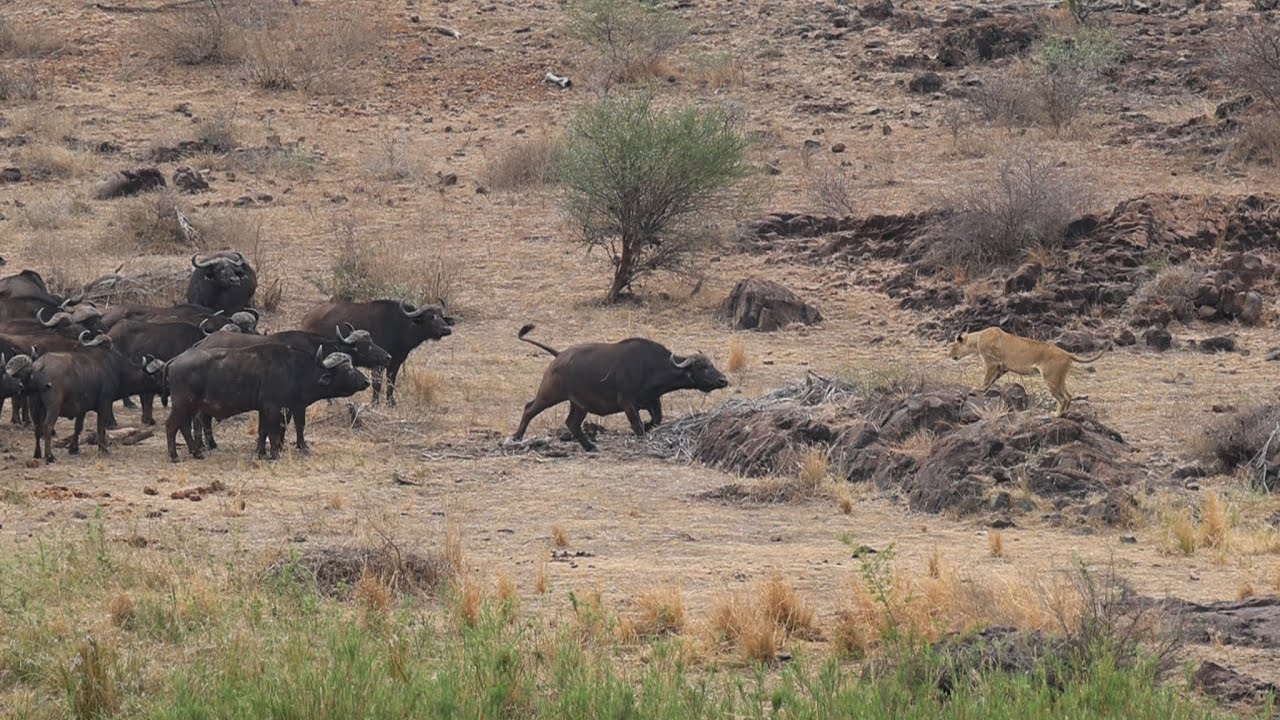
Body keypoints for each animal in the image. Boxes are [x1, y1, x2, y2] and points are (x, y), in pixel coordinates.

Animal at [30, 333, 165, 462]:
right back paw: (49, 456)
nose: (165, 387)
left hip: (36, 407)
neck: (116, 369)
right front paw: (103, 449)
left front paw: (74, 448)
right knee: (47, 426)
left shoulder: (81, 409)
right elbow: (101, 427)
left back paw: (37, 454)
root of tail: (40, 365)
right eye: (159, 374)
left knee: (37, 427)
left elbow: (78, 427)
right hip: (53, 407)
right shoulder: (104, 403)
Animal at [166, 345, 370, 462]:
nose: (366, 381)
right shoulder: (273, 409)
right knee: (172, 425)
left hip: (189, 406)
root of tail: (176, 360)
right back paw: (175, 456)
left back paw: (196, 452)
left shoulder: (265, 409)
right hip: (183, 404)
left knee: (184, 426)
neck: (295, 371)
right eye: (349, 369)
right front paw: (274, 454)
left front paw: (260, 453)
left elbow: (262, 431)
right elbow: (273, 432)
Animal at [301, 300, 453, 406]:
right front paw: (375, 403)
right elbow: (377, 385)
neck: (400, 326)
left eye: (441, 316)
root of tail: (307, 317)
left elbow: (391, 382)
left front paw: (391, 402)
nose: (447, 329)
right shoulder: (378, 364)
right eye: (431, 316)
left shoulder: (394, 362)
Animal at [510, 325, 729, 451]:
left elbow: (656, 419)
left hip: (579, 404)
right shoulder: (627, 402)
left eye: (711, 365)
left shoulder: (652, 401)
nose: (723, 380)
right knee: (529, 408)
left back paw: (590, 447)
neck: (651, 366)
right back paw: (517, 437)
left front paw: (649, 425)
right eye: (702, 367)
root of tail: (559, 355)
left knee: (572, 423)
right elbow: (637, 425)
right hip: (550, 393)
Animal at [948, 327, 1104, 417]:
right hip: (1059, 379)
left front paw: (979, 389)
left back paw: (1056, 414)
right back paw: (1065, 413)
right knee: (1069, 395)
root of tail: (1067, 353)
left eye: (953, 346)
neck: (976, 339)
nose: (949, 355)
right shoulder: (1002, 367)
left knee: (1063, 398)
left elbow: (987, 378)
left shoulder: (992, 363)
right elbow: (992, 379)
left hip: (1050, 379)